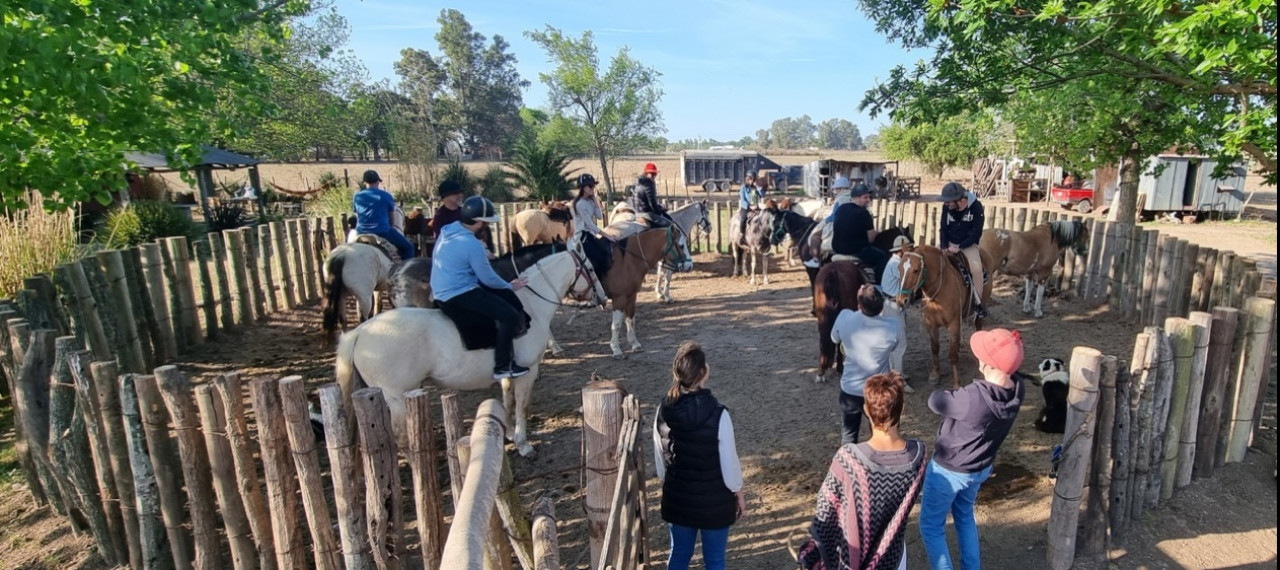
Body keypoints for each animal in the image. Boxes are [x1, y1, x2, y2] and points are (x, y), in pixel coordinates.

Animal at [335, 247, 604, 456]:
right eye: (591, 269)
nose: (601, 297)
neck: (530, 305)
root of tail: (360, 332)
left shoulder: (508, 372)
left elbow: (508, 401)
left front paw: (508, 433)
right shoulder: (528, 371)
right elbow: (522, 405)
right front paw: (523, 444)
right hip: (396, 398)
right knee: (401, 441)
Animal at [896, 244, 993, 386]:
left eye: (916, 270)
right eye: (899, 268)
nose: (902, 300)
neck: (939, 291)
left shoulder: (953, 324)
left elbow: (952, 354)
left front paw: (956, 382)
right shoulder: (931, 325)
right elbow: (935, 348)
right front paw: (935, 374)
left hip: (982, 307)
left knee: (978, 326)